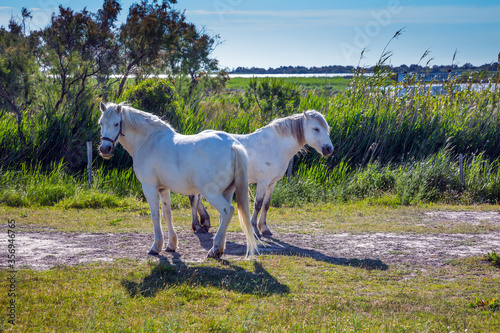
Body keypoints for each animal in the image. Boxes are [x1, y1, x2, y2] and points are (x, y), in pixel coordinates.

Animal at [99, 100, 260, 256]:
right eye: (101, 123)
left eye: (116, 123)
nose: (105, 149)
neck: (148, 140)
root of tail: (232, 145)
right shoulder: (163, 188)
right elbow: (167, 215)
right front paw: (171, 245)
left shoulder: (149, 186)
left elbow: (155, 215)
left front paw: (155, 247)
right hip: (227, 191)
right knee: (223, 217)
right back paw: (219, 247)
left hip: (211, 193)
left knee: (227, 211)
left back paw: (214, 250)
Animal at [189, 111, 334, 236]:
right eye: (316, 129)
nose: (329, 149)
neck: (274, 146)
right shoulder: (263, 181)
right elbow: (258, 204)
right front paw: (254, 228)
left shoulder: (272, 182)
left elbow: (266, 204)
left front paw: (264, 228)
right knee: (194, 199)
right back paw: (197, 225)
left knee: (198, 199)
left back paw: (205, 223)